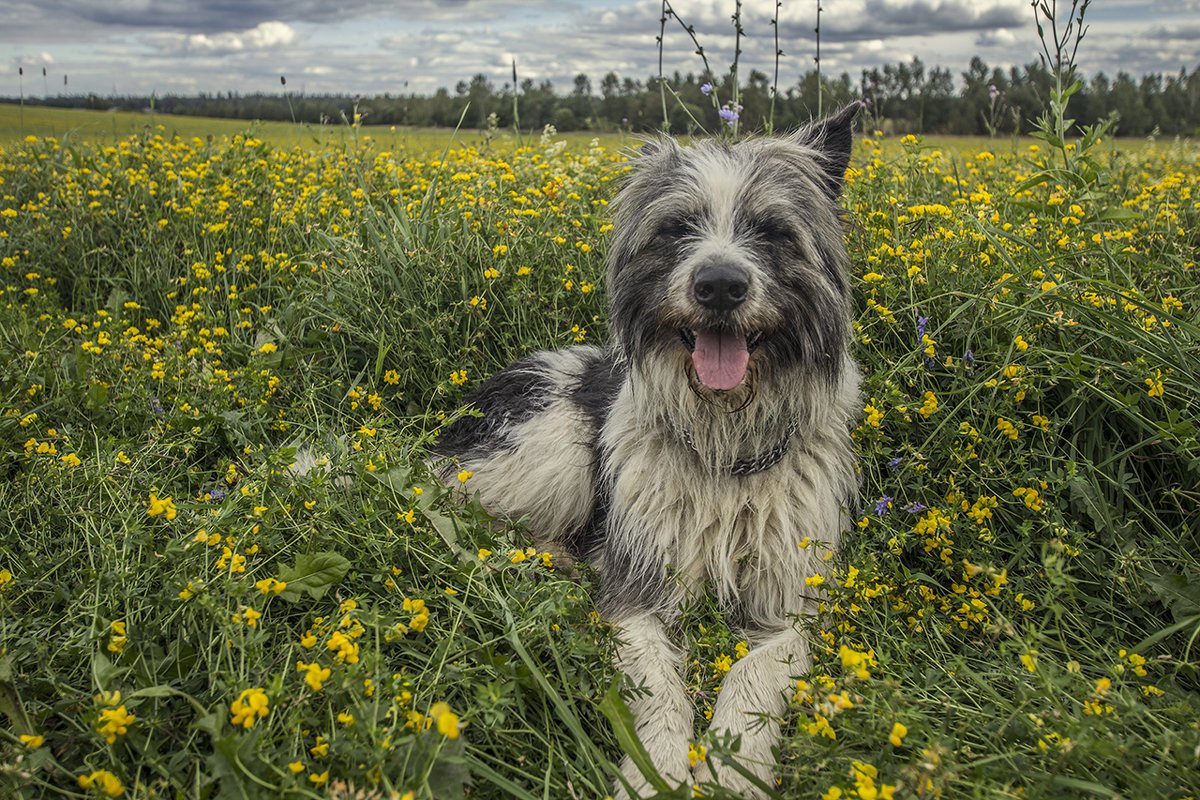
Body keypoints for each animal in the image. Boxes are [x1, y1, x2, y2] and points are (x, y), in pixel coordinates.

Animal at [432, 103, 864, 796]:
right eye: (678, 227)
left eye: (771, 231)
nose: (720, 285)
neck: (723, 445)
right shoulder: (637, 590)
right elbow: (658, 684)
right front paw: (658, 769)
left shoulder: (791, 602)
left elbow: (754, 672)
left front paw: (730, 769)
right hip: (554, 444)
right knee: (445, 501)